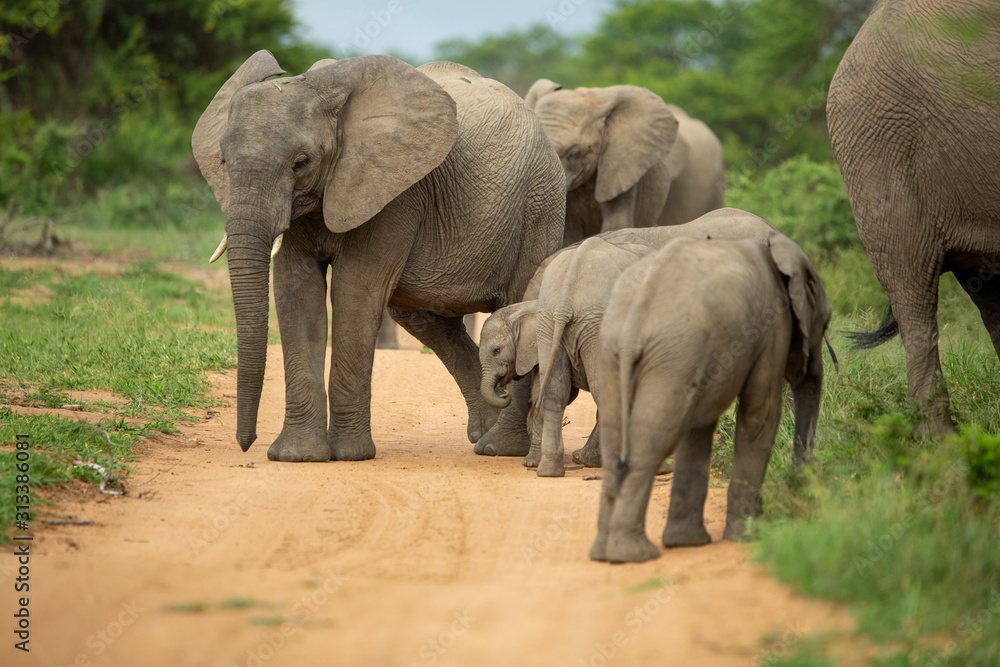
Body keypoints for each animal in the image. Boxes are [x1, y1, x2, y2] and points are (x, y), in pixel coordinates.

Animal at [194, 52, 568, 462]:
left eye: (301, 162)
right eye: (223, 160)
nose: (246, 445)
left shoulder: (395, 192)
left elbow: (355, 292)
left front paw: (348, 455)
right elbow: (296, 293)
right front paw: (296, 456)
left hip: (541, 204)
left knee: (518, 305)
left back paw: (499, 448)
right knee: (426, 320)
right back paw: (484, 434)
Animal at [588, 234, 832, 564]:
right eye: (826, 323)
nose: (798, 487)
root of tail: (635, 317)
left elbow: (699, 427)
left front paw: (688, 543)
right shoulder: (773, 325)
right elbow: (760, 413)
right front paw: (748, 536)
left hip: (617, 353)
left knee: (618, 439)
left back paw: (604, 554)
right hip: (673, 356)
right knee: (653, 439)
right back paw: (633, 554)